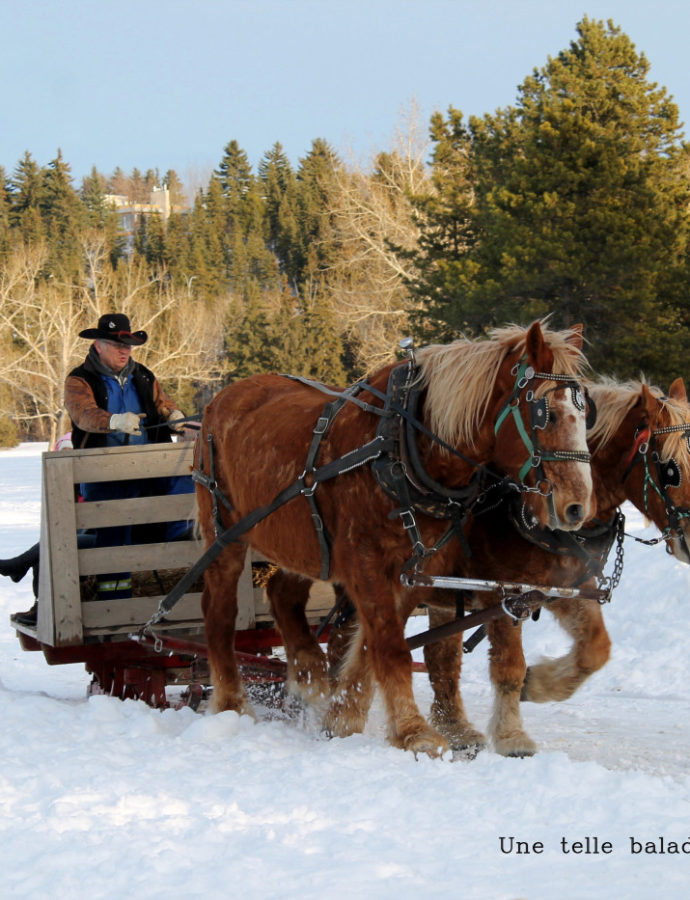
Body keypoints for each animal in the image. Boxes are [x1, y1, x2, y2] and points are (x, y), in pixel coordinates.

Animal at [194, 320, 592, 756]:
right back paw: (232, 704)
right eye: (545, 414)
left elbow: (372, 648)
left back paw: (310, 674)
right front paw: (414, 731)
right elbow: (391, 648)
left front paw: (344, 715)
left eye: (585, 412)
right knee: (219, 613)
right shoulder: (367, 566)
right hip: (224, 535)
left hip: (301, 543)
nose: (577, 506)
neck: (403, 447)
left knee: (283, 594)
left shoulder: (412, 570)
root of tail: (220, 399)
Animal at [420, 376, 688, 756]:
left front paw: (537, 685)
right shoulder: (501, 593)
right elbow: (509, 665)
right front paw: (512, 736)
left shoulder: (565, 588)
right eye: (669, 469)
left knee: (439, 656)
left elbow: (595, 649)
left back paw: (454, 727)